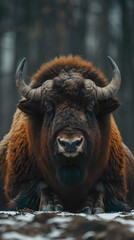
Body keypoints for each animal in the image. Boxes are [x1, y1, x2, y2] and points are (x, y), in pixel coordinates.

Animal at [0, 55, 133, 213]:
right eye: (48, 107)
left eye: (90, 106)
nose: (70, 143)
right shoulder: (18, 188)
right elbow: (40, 184)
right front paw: (51, 205)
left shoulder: (116, 185)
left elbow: (100, 187)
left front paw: (92, 207)